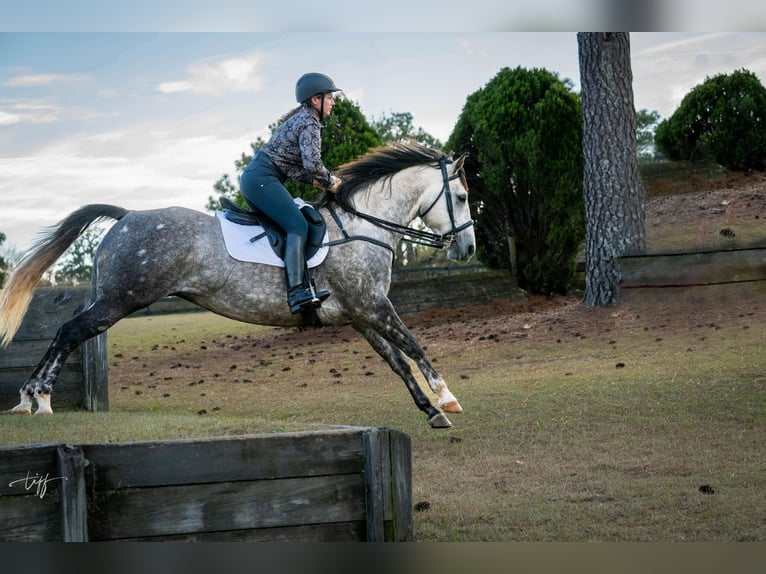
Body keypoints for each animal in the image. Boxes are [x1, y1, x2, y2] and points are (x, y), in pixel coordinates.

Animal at [1, 143, 474, 432]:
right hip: (119, 301)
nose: (467, 248)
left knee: (67, 331)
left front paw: (431, 412)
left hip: (113, 300)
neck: (362, 227)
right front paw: (448, 398)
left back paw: (27, 398)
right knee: (70, 331)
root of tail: (127, 215)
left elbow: (397, 361)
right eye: (464, 197)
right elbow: (413, 346)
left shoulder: (359, 314)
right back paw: (40, 397)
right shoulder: (374, 306)